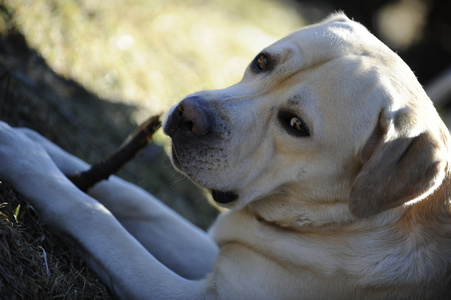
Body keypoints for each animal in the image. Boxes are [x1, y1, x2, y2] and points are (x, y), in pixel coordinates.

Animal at [0, 12, 451, 298]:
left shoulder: (197, 293)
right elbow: (134, 198)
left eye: (296, 125)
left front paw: (24, 155)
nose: (187, 115)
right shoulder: (221, 247)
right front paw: (38, 145)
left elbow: (96, 217)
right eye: (262, 61)